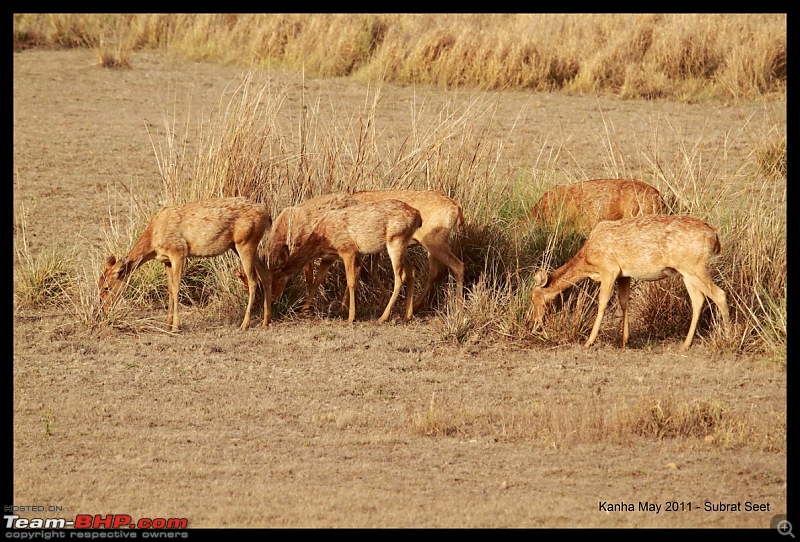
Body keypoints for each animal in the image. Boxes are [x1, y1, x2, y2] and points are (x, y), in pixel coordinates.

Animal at [98, 198, 274, 334]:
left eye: (107, 288)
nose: (104, 310)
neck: (154, 237)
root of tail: (267, 214)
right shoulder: (166, 261)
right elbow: (170, 290)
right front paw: (166, 325)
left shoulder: (179, 252)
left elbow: (176, 288)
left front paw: (176, 327)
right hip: (240, 246)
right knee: (266, 274)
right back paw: (266, 322)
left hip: (245, 243)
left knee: (253, 280)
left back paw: (244, 325)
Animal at [268, 202, 424, 326]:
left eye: (277, 279)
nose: (272, 299)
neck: (323, 239)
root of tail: (418, 215)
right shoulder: (329, 257)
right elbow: (317, 280)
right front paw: (304, 309)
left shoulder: (348, 250)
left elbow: (351, 281)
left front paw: (351, 317)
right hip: (402, 244)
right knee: (411, 271)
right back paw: (407, 315)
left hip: (396, 240)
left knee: (400, 277)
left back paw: (383, 317)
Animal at [532, 215, 732, 350]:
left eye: (534, 298)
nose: (534, 323)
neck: (588, 260)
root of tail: (715, 236)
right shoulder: (624, 275)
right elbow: (624, 302)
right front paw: (624, 340)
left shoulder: (609, 269)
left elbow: (603, 302)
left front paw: (588, 341)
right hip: (687, 274)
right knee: (698, 300)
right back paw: (685, 344)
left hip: (696, 268)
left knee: (720, 294)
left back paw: (728, 336)